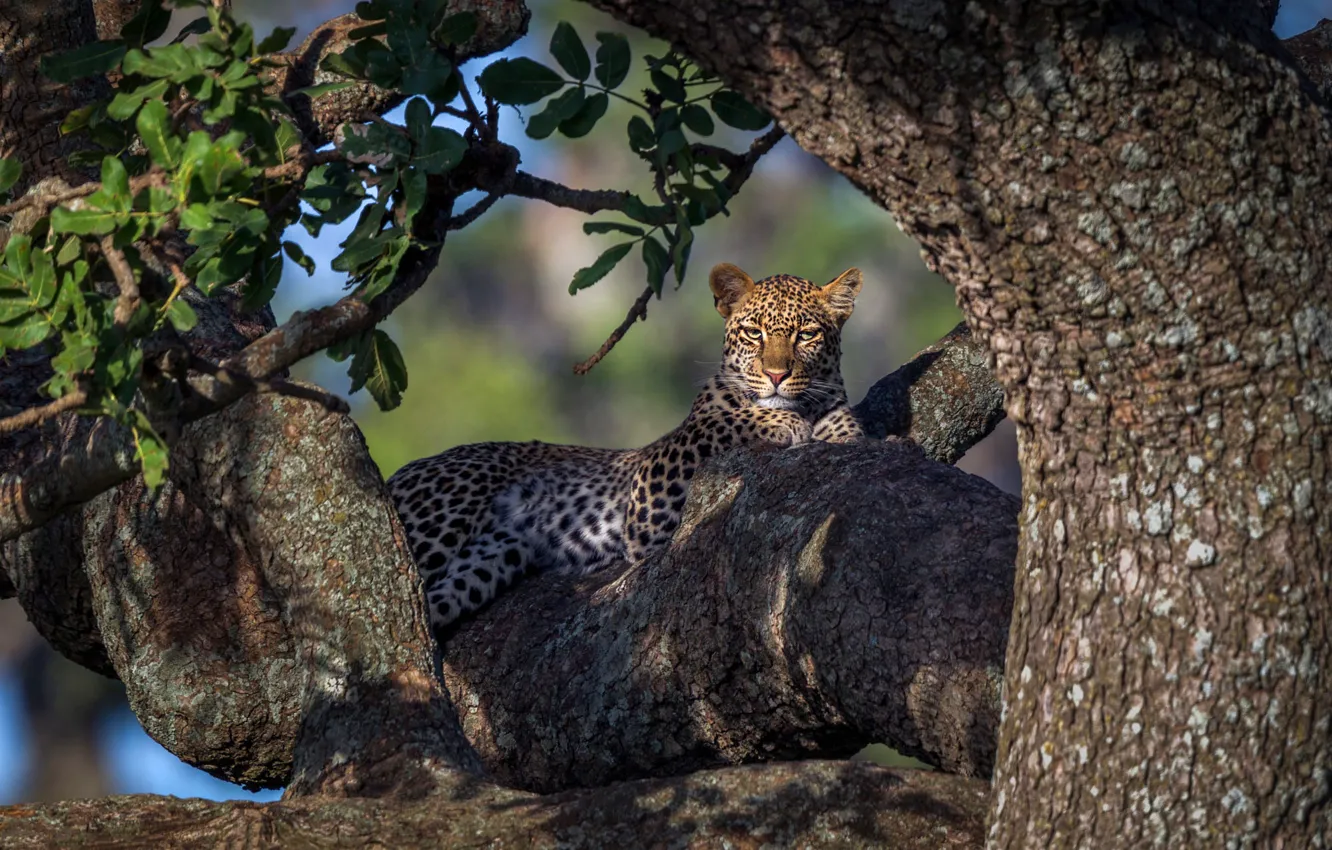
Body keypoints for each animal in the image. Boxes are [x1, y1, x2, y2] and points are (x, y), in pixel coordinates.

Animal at [386, 262, 866, 641]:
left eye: (807, 335)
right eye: (753, 333)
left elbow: (847, 436)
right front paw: (780, 422)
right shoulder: (651, 492)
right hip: (442, 516)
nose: (776, 375)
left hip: (490, 559)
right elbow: (719, 422)